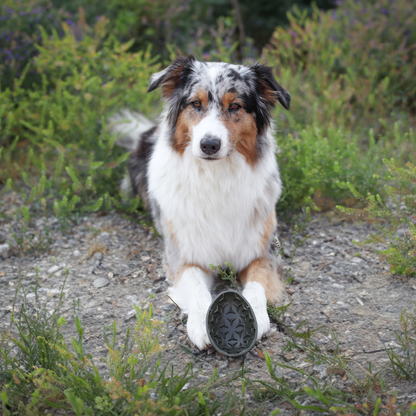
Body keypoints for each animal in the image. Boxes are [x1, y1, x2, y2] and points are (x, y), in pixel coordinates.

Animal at [112, 54, 290, 348]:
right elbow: (195, 287)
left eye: (235, 106)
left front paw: (255, 317)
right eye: (196, 103)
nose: (209, 144)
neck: (216, 178)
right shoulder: (184, 256)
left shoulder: (263, 253)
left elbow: (256, 286)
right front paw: (200, 324)